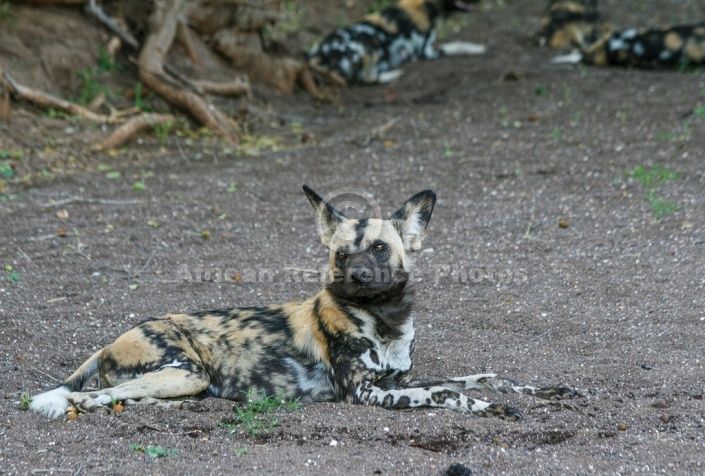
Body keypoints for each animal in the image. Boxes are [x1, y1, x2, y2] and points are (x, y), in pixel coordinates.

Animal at [30, 186, 576, 420]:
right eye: (342, 253)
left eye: (381, 249)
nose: (358, 274)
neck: (384, 322)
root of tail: (109, 342)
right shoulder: (368, 394)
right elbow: (448, 394)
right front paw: (491, 408)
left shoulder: (398, 382)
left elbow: (485, 376)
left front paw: (546, 391)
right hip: (185, 372)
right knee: (88, 399)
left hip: (182, 381)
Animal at [306, 0, 486, 84]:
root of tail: (315, 56)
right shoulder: (426, 51)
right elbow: (458, 44)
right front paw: (478, 48)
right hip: (366, 46)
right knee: (368, 78)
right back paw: (394, 73)